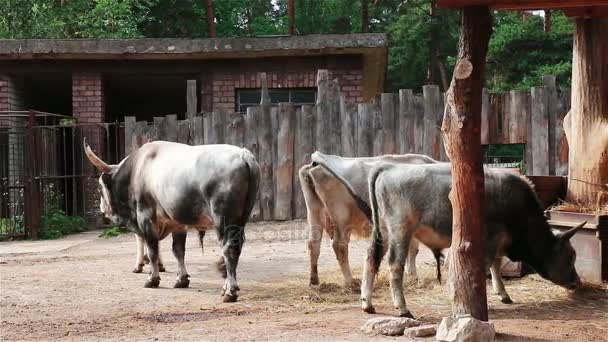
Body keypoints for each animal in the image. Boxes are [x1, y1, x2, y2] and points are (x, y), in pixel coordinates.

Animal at [83, 139, 258, 302]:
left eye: (99, 187)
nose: (102, 209)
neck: (137, 170)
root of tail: (243, 155)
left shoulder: (145, 216)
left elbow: (152, 249)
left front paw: (153, 278)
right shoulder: (177, 223)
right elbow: (178, 250)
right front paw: (181, 279)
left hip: (223, 220)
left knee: (229, 250)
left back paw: (230, 292)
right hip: (241, 220)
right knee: (235, 250)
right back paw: (225, 287)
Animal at [298, 152, 442, 288]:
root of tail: (315, 164)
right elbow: (413, 249)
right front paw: (414, 277)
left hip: (314, 211)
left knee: (313, 244)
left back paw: (314, 281)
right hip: (342, 216)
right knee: (339, 245)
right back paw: (350, 280)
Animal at [360, 163, 584, 318]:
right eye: (570, 257)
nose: (577, 282)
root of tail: (389, 166)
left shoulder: (497, 243)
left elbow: (496, 266)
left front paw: (503, 294)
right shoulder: (490, 242)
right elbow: (485, 268)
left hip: (382, 231)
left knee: (371, 258)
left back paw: (367, 303)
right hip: (401, 230)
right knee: (394, 264)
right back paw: (403, 308)